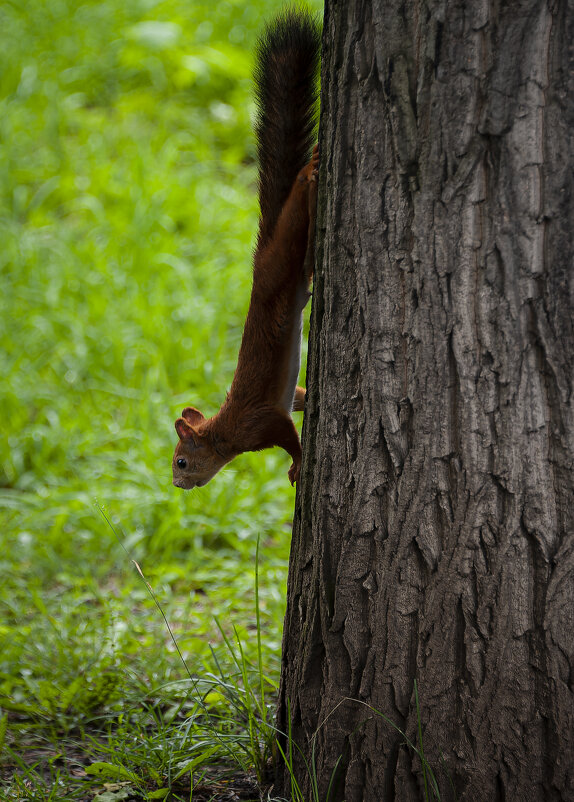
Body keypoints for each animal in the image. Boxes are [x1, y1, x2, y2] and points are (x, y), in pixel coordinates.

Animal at [172, 9, 321, 490]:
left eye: (182, 462)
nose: (177, 485)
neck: (225, 432)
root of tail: (261, 257)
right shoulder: (282, 402)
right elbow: (298, 398)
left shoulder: (261, 422)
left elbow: (290, 436)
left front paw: (296, 465)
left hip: (285, 251)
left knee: (297, 218)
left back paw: (310, 172)